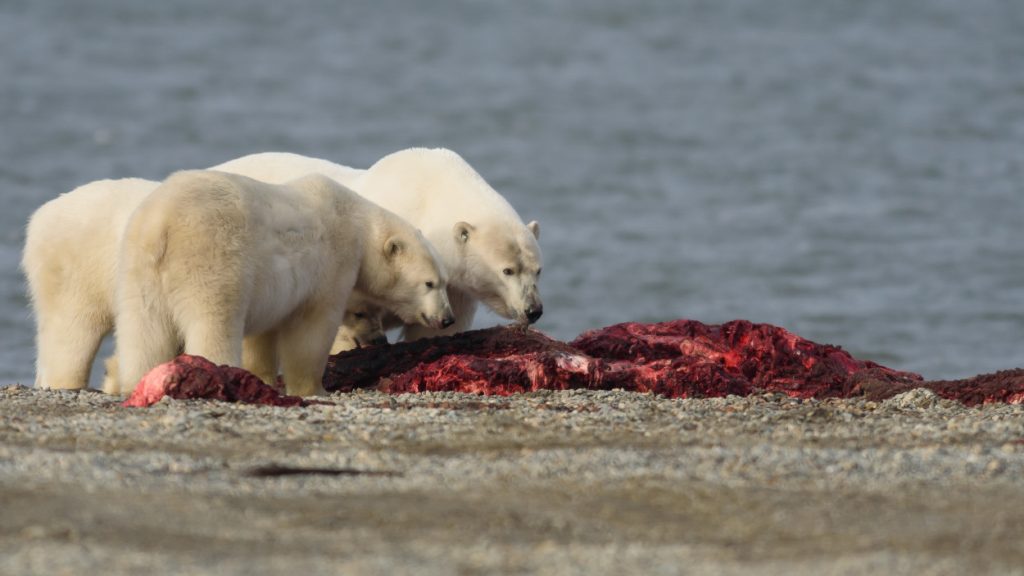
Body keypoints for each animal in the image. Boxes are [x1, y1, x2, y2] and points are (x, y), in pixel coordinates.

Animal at [110, 168, 450, 397]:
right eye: (430, 283)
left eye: (444, 281)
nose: (447, 318)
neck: (358, 223)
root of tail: (160, 223)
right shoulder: (331, 263)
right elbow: (311, 328)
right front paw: (313, 388)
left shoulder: (272, 290)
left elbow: (262, 334)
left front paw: (262, 377)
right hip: (211, 257)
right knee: (214, 319)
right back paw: (218, 372)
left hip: (138, 267)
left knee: (143, 328)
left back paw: (139, 380)